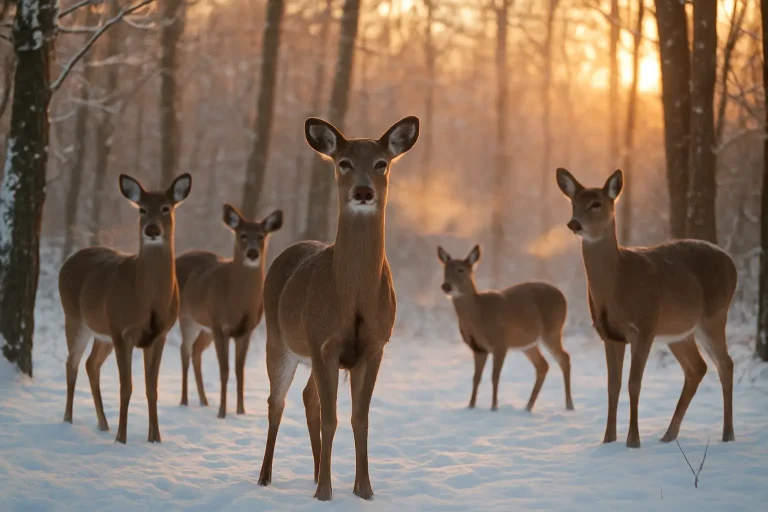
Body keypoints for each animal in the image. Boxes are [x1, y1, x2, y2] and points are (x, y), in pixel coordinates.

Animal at [59, 173, 192, 444]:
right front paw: (122, 438)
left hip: (103, 333)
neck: (148, 299)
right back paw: (68, 419)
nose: (152, 229)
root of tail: (66, 263)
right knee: (72, 363)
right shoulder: (122, 331)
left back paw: (103, 424)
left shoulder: (158, 335)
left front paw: (155, 439)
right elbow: (126, 387)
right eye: (142, 209)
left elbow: (152, 388)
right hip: (75, 318)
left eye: (166, 208)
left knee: (91, 364)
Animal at [175, 204, 283, 419]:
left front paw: (241, 411)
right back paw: (184, 401)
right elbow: (224, 370)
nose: (252, 253)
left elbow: (239, 371)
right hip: (187, 318)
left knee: (196, 351)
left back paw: (204, 400)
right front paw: (222, 412)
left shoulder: (245, 330)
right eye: (242, 235)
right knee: (184, 350)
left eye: (261, 236)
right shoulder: (220, 326)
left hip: (205, 328)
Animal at [256, 116, 419, 501]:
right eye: (343, 162)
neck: (354, 297)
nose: (362, 192)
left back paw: (316, 472)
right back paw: (265, 477)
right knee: (276, 402)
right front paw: (325, 494)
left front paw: (364, 490)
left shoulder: (375, 346)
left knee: (307, 398)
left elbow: (361, 418)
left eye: (381, 163)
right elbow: (332, 418)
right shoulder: (323, 342)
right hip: (278, 340)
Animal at [437, 245, 573, 413]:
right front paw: (470, 406)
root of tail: (563, 296)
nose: (446, 286)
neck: (478, 314)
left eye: (460, 270)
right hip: (528, 343)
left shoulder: (500, 343)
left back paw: (569, 405)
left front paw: (494, 407)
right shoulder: (478, 348)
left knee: (564, 358)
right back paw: (528, 407)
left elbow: (495, 376)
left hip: (552, 330)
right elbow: (476, 378)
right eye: (445, 269)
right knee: (543, 365)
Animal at [555, 168, 737, 448]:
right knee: (697, 368)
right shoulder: (609, 335)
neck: (617, 283)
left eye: (596, 203)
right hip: (678, 331)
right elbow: (613, 385)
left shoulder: (644, 326)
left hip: (714, 316)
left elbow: (634, 383)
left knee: (725, 364)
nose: (574, 224)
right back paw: (668, 435)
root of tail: (733, 263)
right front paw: (608, 440)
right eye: (573, 203)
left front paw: (633, 441)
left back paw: (727, 435)